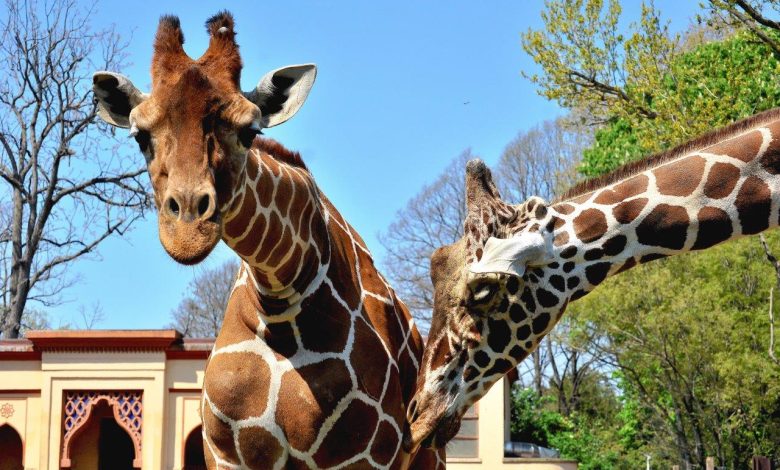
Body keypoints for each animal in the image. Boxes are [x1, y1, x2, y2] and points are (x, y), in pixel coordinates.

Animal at [91, 12, 443, 469]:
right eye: (140, 136)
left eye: (249, 131)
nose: (187, 231)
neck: (282, 302)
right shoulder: (225, 453)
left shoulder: (364, 456)